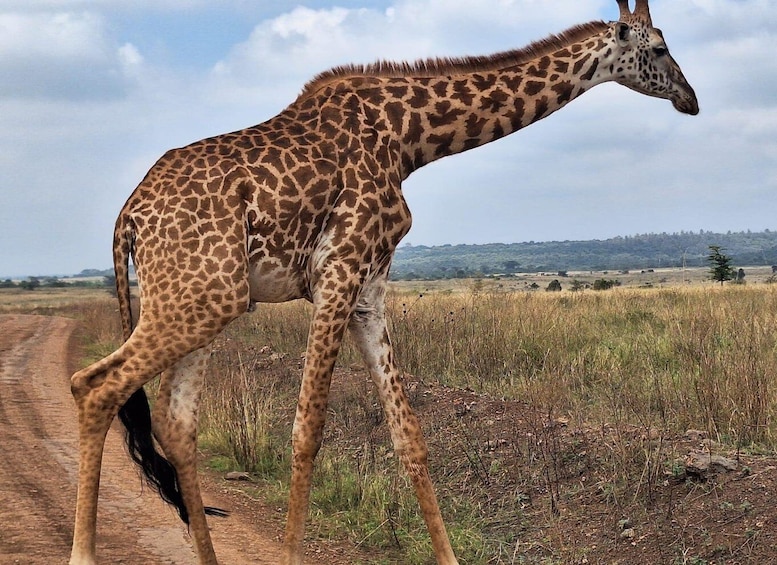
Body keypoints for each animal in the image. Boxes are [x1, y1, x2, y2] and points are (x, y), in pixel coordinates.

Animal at [69, 1, 697, 564]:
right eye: (660, 49)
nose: (690, 100)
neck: (408, 138)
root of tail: (128, 216)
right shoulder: (338, 272)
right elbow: (307, 430)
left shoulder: (368, 290)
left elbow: (409, 436)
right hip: (202, 297)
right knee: (94, 385)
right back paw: (83, 552)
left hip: (205, 300)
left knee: (175, 424)